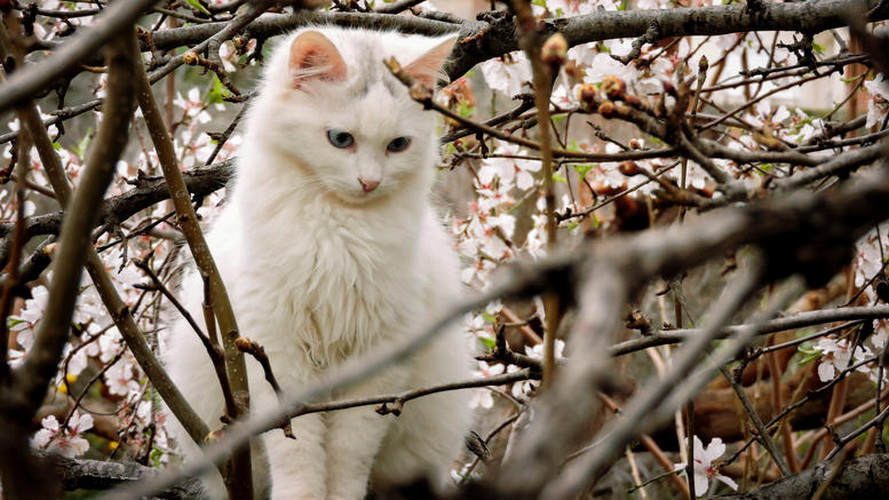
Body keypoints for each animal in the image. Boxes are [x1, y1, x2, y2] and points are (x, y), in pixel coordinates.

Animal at [164, 27, 476, 500]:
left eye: (398, 145)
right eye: (341, 139)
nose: (369, 182)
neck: (337, 231)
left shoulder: (379, 355)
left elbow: (349, 453)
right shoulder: (275, 348)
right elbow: (297, 450)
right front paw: (301, 495)